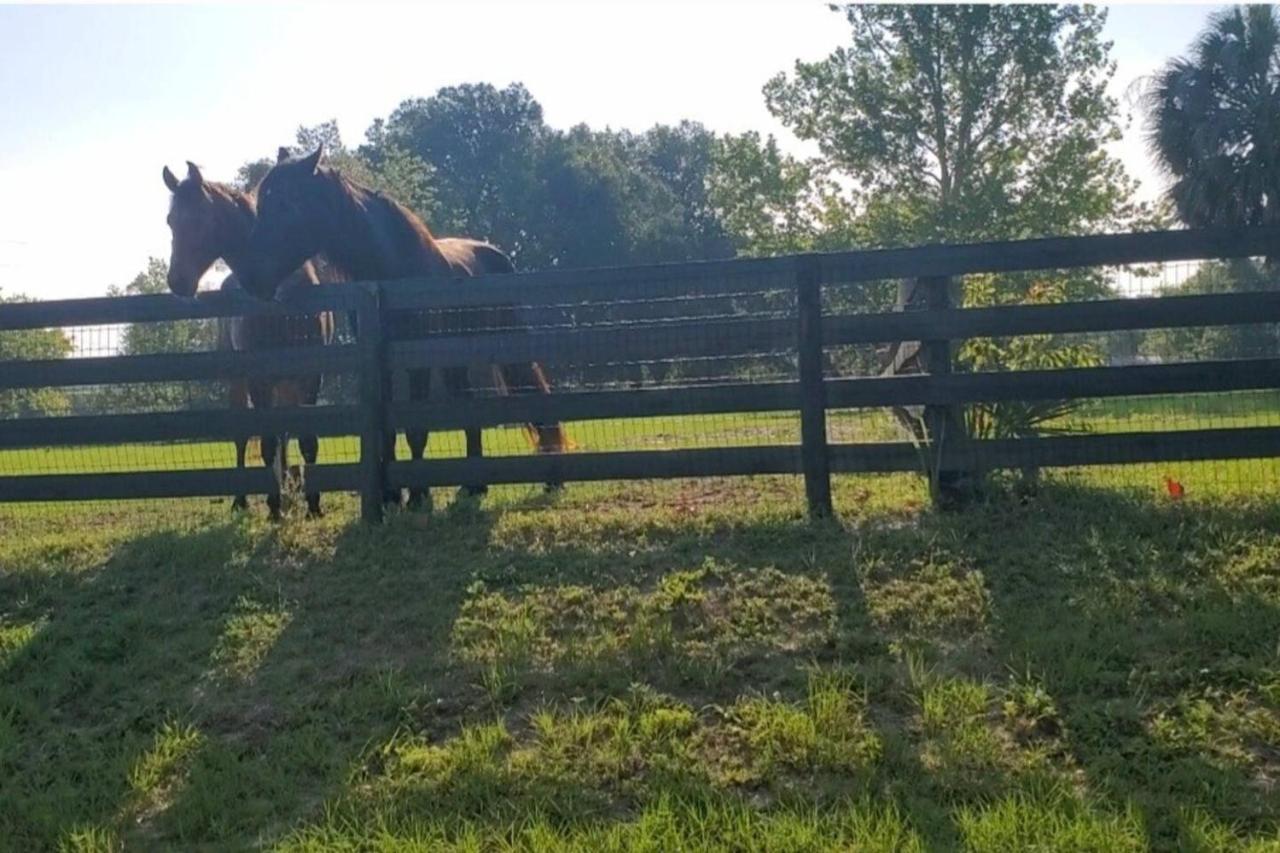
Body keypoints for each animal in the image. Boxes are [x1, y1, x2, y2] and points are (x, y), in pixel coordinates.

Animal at [162, 162, 335, 514]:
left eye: (199, 219)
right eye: (171, 221)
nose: (177, 281)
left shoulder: (311, 376)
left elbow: (307, 439)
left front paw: (312, 502)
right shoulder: (258, 378)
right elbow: (266, 441)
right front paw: (273, 505)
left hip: (285, 386)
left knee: (285, 433)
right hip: (240, 383)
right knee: (243, 437)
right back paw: (242, 499)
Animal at [231, 144, 570, 512]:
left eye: (287, 204)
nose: (250, 277)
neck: (393, 270)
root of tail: (495, 254)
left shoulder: (415, 362)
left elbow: (415, 430)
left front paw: (418, 496)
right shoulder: (385, 366)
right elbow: (389, 431)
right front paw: (393, 496)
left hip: (506, 346)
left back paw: (548, 479)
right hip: (455, 359)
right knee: (467, 407)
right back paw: (473, 485)